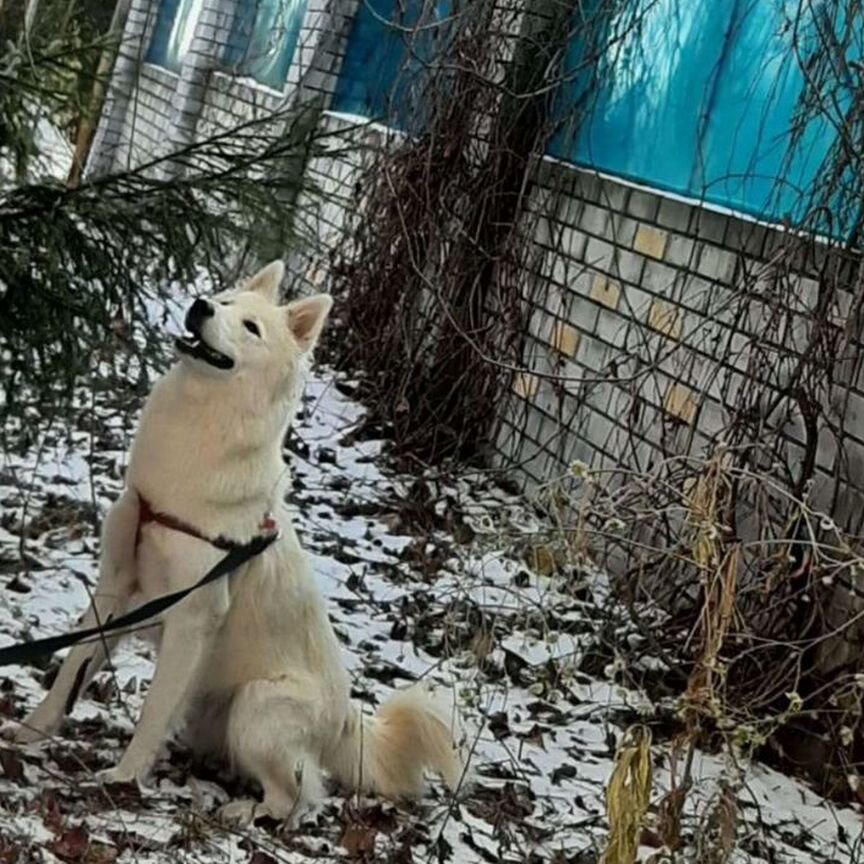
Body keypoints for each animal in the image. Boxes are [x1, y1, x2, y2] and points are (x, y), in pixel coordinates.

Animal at [10, 262, 462, 824]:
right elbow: (72, 667)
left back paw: (244, 813)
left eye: (251, 327)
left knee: (300, 797)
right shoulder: (117, 588)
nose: (200, 305)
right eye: (223, 301)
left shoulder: (193, 615)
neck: (197, 436)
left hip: (256, 708)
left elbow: (154, 708)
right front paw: (31, 732)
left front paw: (123, 777)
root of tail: (346, 719)